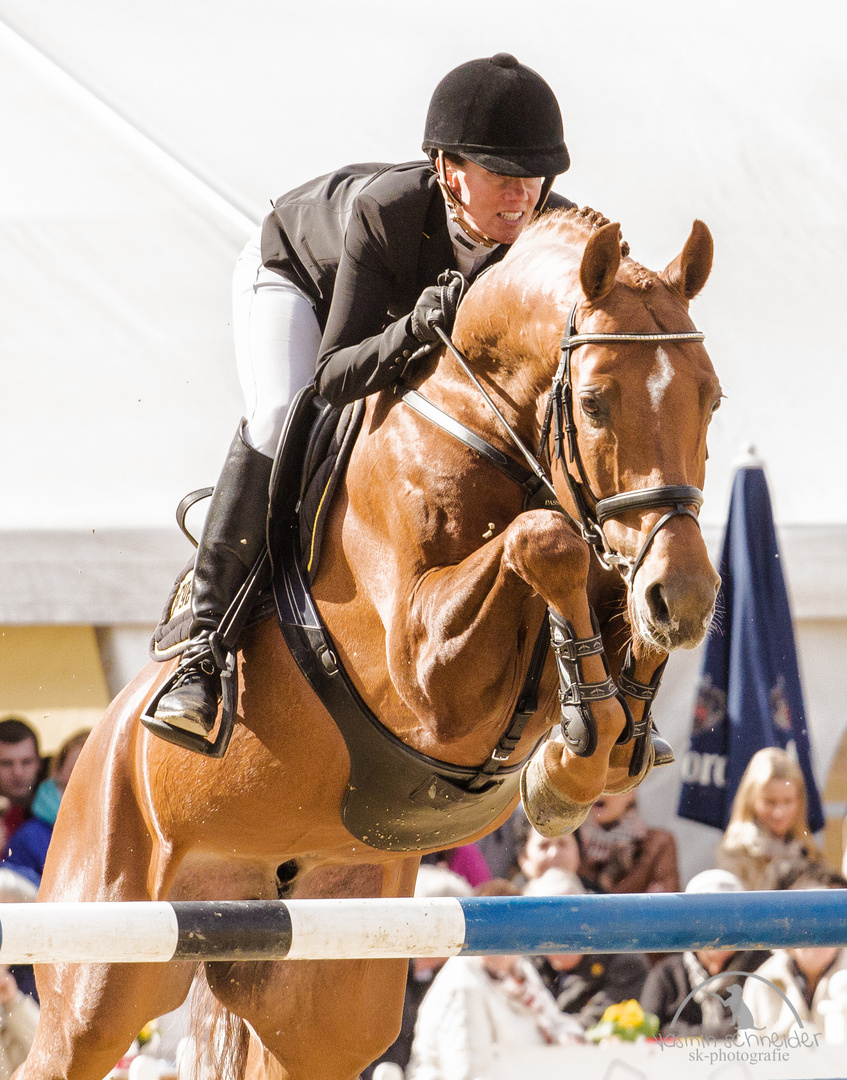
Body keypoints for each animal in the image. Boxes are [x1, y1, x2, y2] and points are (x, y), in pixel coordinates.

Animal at [18, 208, 721, 1080]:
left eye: (711, 398)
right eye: (592, 402)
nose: (686, 599)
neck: (482, 431)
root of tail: (99, 750)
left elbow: (596, 589)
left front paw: (582, 750)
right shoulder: (420, 672)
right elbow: (546, 538)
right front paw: (572, 753)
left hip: (321, 982)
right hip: (102, 972)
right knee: (71, 1038)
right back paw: (193, 690)